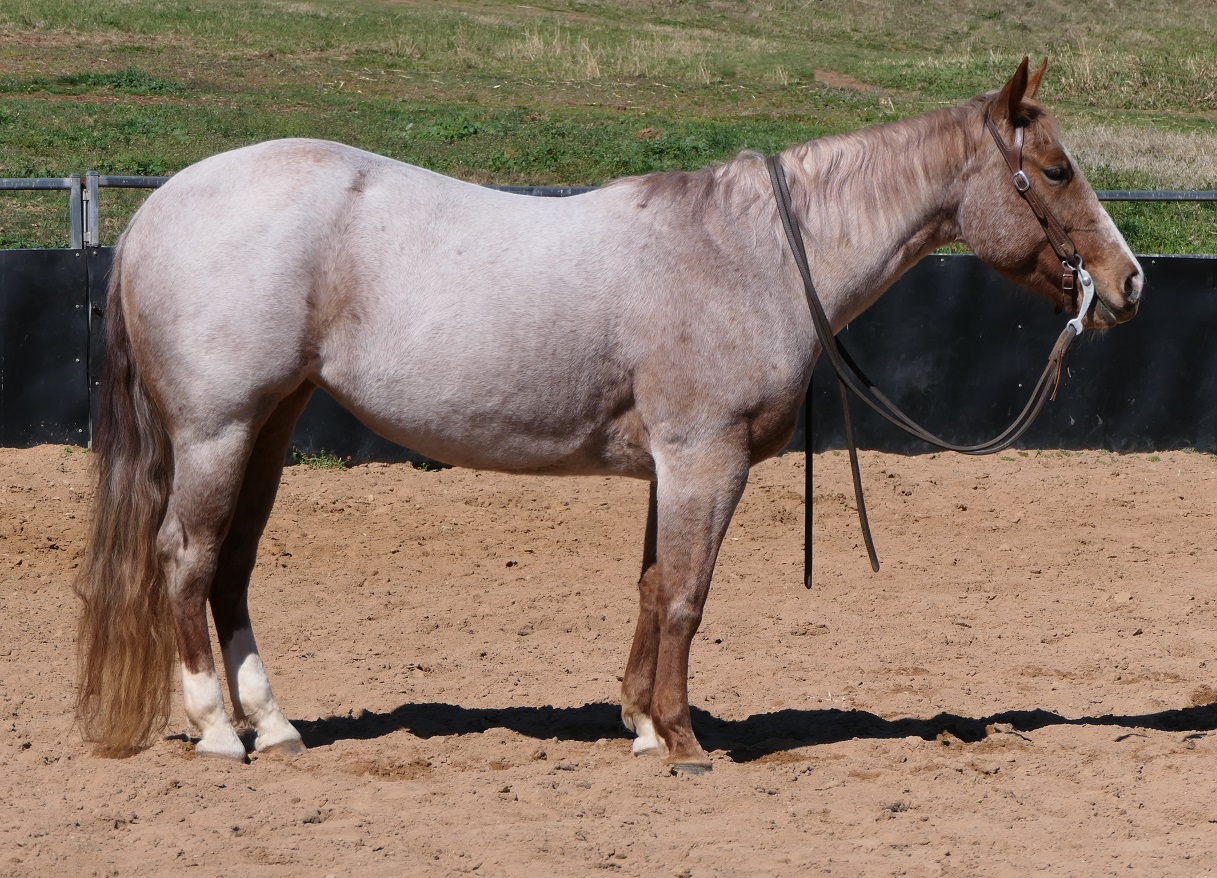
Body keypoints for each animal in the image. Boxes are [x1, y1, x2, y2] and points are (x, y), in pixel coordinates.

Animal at [74, 58, 1142, 772]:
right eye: (1054, 171)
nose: (1130, 281)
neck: (747, 252)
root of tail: (160, 205)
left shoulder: (670, 468)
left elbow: (649, 586)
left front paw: (636, 722)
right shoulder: (705, 459)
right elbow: (686, 596)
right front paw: (682, 740)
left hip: (272, 427)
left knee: (232, 571)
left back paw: (278, 725)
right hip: (217, 432)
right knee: (186, 561)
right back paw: (220, 731)